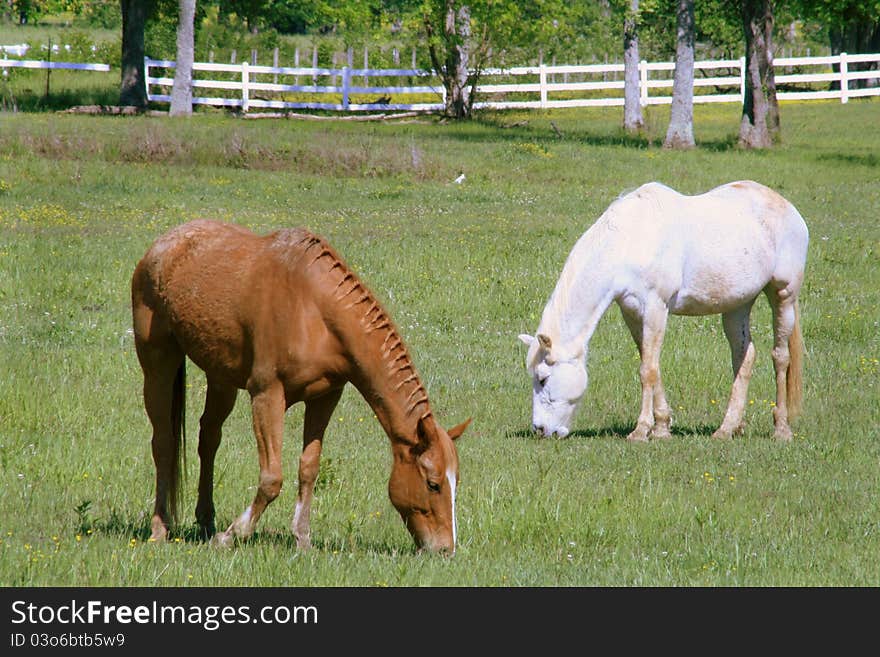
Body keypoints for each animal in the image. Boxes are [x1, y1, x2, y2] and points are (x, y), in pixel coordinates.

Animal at [131, 218, 470, 552]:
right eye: (433, 484)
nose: (445, 549)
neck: (314, 308)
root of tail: (161, 246)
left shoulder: (325, 397)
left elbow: (309, 468)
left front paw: (302, 538)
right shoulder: (267, 395)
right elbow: (271, 478)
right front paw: (233, 535)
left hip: (220, 378)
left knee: (209, 439)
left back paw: (205, 520)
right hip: (157, 366)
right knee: (163, 443)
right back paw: (160, 528)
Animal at [520, 179, 808, 440]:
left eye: (543, 379)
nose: (540, 430)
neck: (629, 240)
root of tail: (789, 209)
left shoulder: (656, 307)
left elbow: (647, 370)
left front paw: (641, 431)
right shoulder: (632, 312)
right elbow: (650, 364)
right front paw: (661, 428)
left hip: (783, 295)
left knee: (780, 358)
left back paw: (781, 429)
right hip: (737, 304)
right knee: (744, 358)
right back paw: (728, 429)